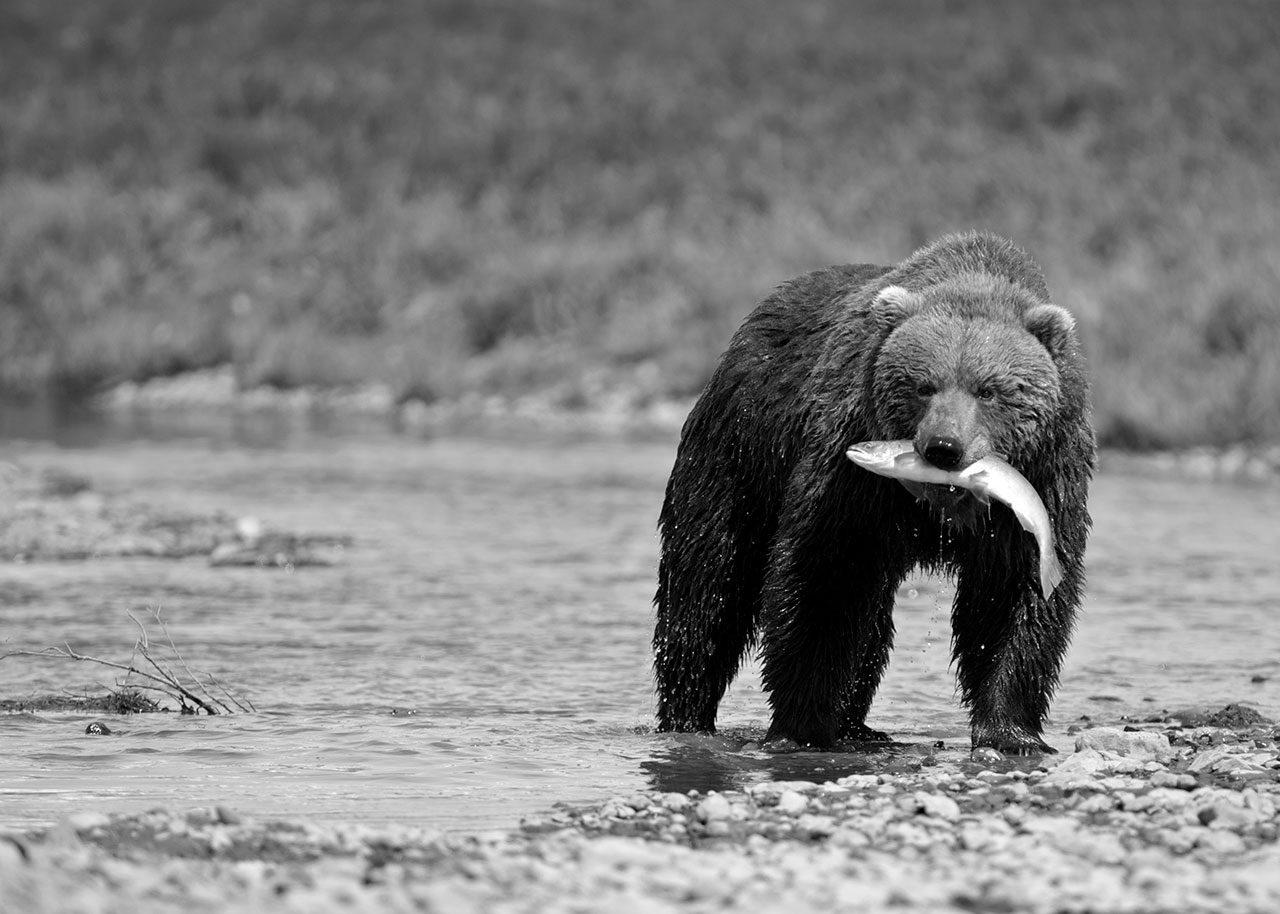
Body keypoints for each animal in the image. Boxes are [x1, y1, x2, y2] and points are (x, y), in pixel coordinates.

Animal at [660, 231, 1090, 752]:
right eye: (923, 385)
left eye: (988, 390)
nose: (944, 447)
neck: (936, 507)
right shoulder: (849, 475)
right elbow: (823, 578)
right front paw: (803, 725)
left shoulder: (1042, 485)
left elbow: (1012, 598)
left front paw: (1012, 732)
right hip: (739, 454)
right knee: (707, 588)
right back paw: (686, 714)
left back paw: (859, 726)